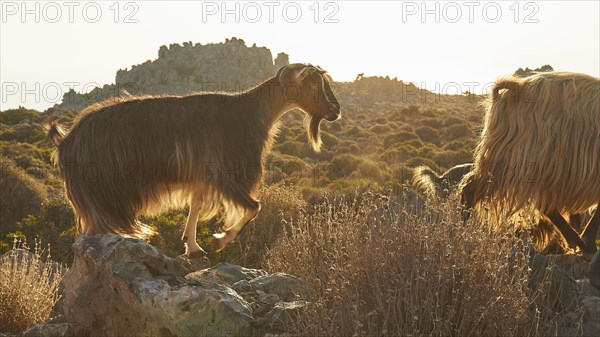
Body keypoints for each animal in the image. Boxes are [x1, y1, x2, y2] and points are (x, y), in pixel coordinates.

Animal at [48, 63, 340, 258]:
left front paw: (193, 246)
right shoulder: (227, 173)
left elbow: (196, 206)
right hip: (102, 190)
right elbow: (254, 207)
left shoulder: (202, 176)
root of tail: (67, 140)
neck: (251, 113)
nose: (336, 110)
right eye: (314, 84)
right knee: (93, 230)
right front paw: (219, 240)